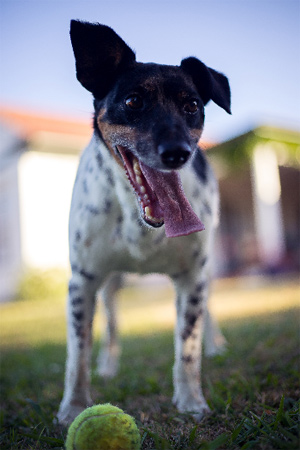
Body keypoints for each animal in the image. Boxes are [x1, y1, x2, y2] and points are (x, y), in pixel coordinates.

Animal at [57, 18, 231, 426]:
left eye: (192, 105)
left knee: (210, 310)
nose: (178, 153)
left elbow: (187, 348)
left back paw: (216, 344)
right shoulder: (83, 280)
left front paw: (191, 402)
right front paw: (73, 409)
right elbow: (77, 355)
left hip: (208, 270)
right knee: (111, 324)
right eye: (134, 101)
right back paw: (109, 365)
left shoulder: (191, 278)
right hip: (109, 283)